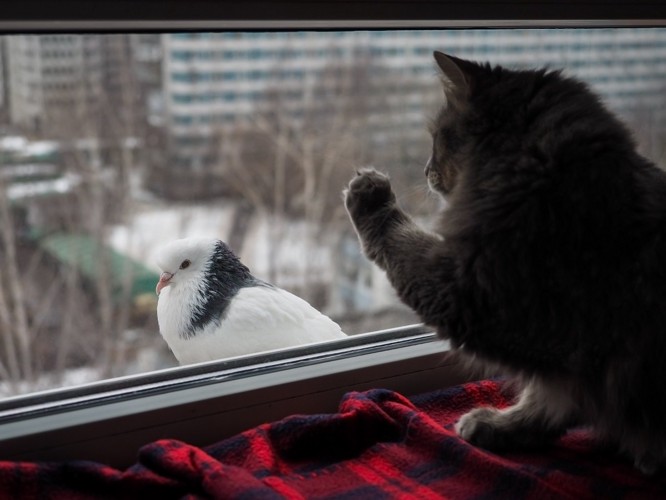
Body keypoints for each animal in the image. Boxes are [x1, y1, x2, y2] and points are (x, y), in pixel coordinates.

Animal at [342, 51, 664, 476]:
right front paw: (504, 426)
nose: (425, 171)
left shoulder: (470, 291)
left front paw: (372, 196)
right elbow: (546, 400)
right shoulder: (569, 365)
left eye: (437, 137)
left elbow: (400, 240)